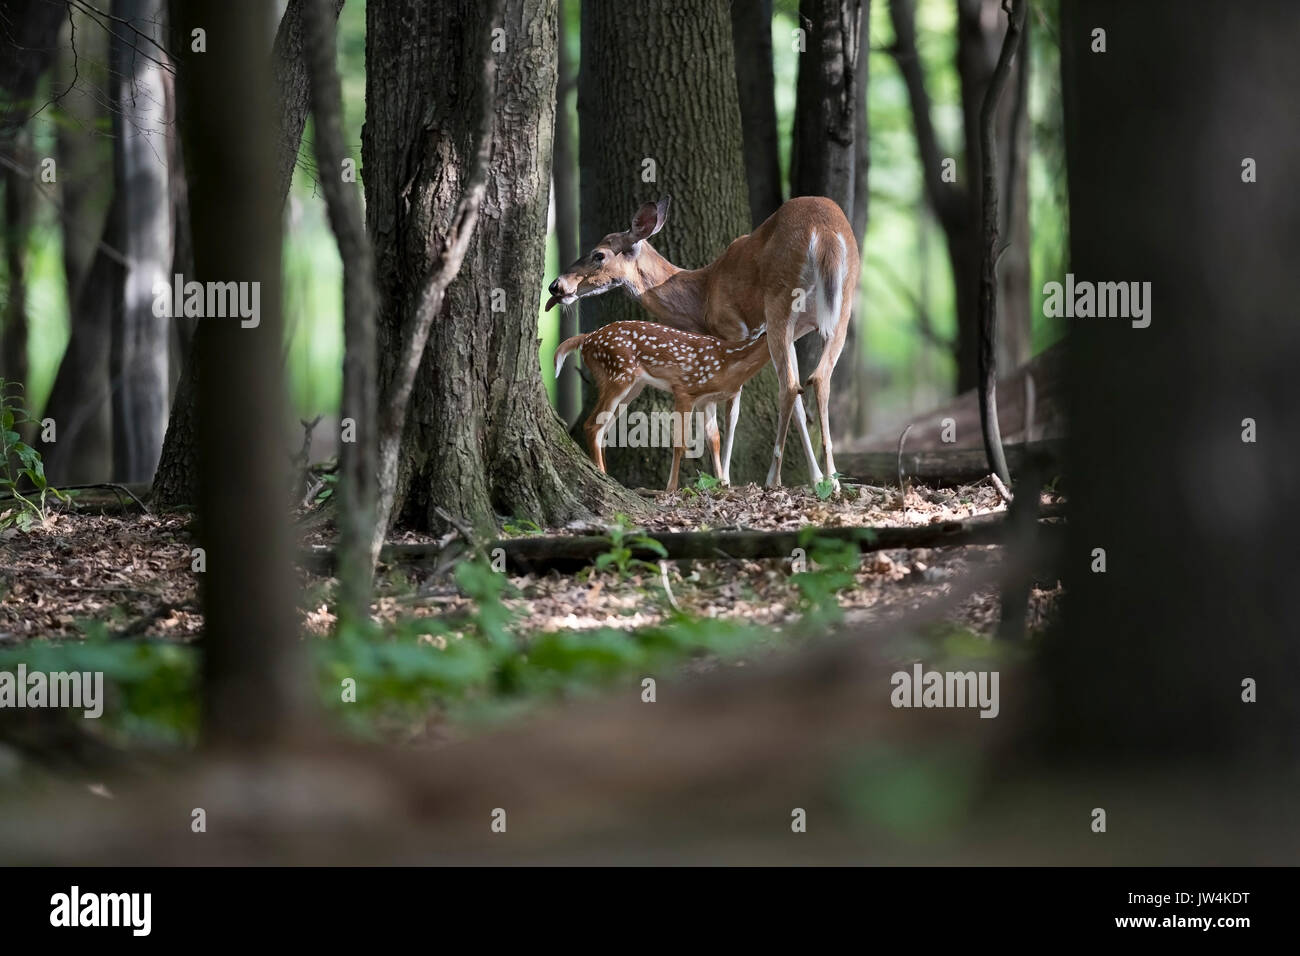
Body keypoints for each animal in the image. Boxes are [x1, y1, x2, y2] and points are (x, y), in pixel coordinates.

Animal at [554, 320, 772, 493]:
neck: (728, 363)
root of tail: (587, 339)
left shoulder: (707, 400)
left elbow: (714, 439)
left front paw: (722, 485)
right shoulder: (684, 389)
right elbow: (680, 441)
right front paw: (671, 489)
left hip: (632, 386)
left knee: (604, 430)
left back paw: (607, 476)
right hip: (618, 374)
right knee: (593, 426)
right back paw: (602, 476)